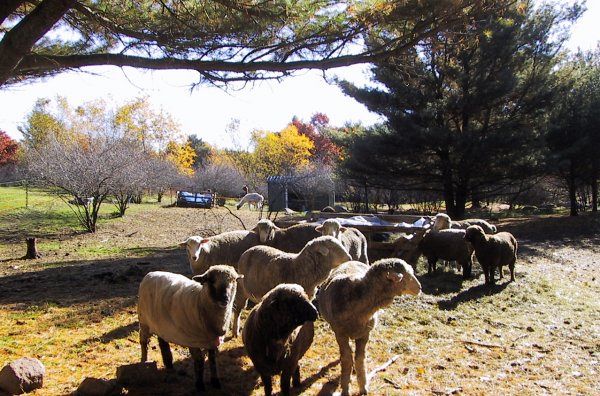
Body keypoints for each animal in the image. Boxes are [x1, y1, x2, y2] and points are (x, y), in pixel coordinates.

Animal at [138, 264, 241, 392]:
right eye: (211, 281)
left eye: (234, 280)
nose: (225, 299)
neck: (200, 302)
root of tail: (151, 273)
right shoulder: (192, 340)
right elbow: (199, 362)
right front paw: (200, 385)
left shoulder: (212, 341)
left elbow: (213, 361)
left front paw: (215, 382)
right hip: (144, 320)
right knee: (143, 342)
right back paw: (144, 361)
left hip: (161, 324)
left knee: (162, 342)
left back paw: (169, 364)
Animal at [316, 258, 420, 394]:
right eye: (406, 276)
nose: (419, 288)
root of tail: (351, 261)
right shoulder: (340, 333)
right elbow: (347, 359)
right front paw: (345, 388)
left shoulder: (365, 334)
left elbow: (360, 359)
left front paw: (363, 387)